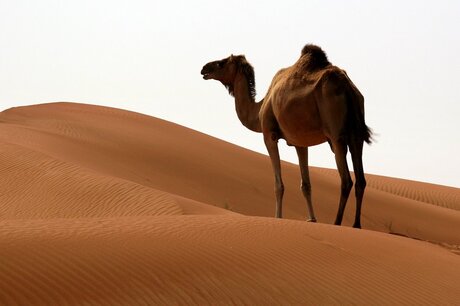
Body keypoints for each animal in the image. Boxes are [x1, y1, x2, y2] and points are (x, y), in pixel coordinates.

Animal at [199, 44, 372, 227]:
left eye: (222, 63)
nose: (204, 68)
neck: (258, 112)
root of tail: (348, 87)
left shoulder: (269, 134)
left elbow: (278, 185)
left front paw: (278, 217)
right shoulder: (300, 141)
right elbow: (306, 184)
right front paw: (312, 219)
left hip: (335, 134)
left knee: (346, 180)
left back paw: (337, 222)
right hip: (356, 134)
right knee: (361, 180)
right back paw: (356, 225)